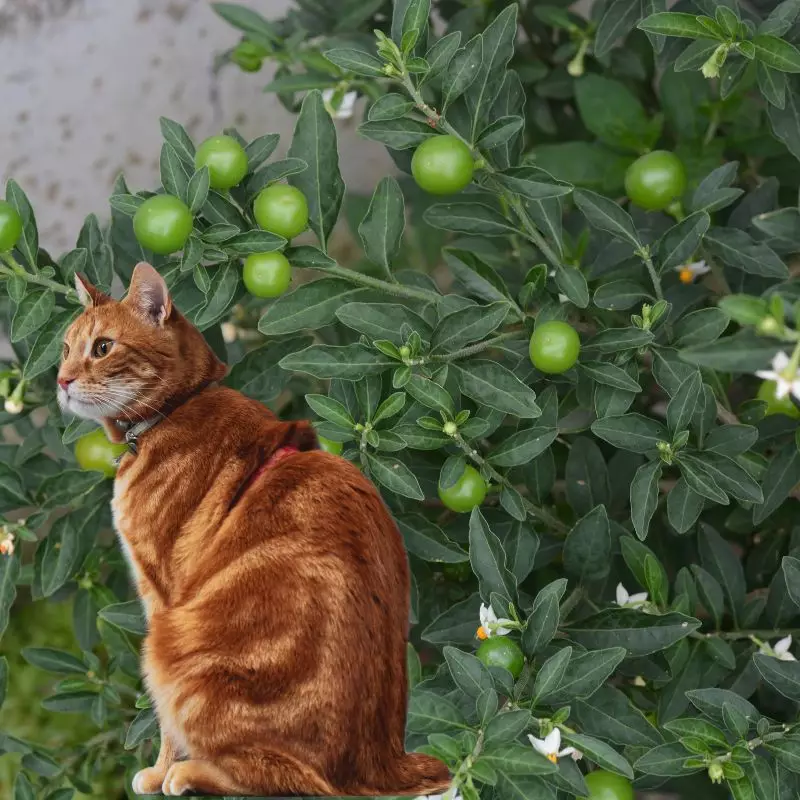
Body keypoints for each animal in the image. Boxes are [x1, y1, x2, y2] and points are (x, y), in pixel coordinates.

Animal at [56, 264, 450, 792]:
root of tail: (382, 764)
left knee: (286, 778)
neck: (176, 409)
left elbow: (165, 725)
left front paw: (159, 771)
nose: (61, 380)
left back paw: (190, 772)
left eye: (102, 347)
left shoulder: (161, 594)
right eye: (65, 347)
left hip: (171, 648)